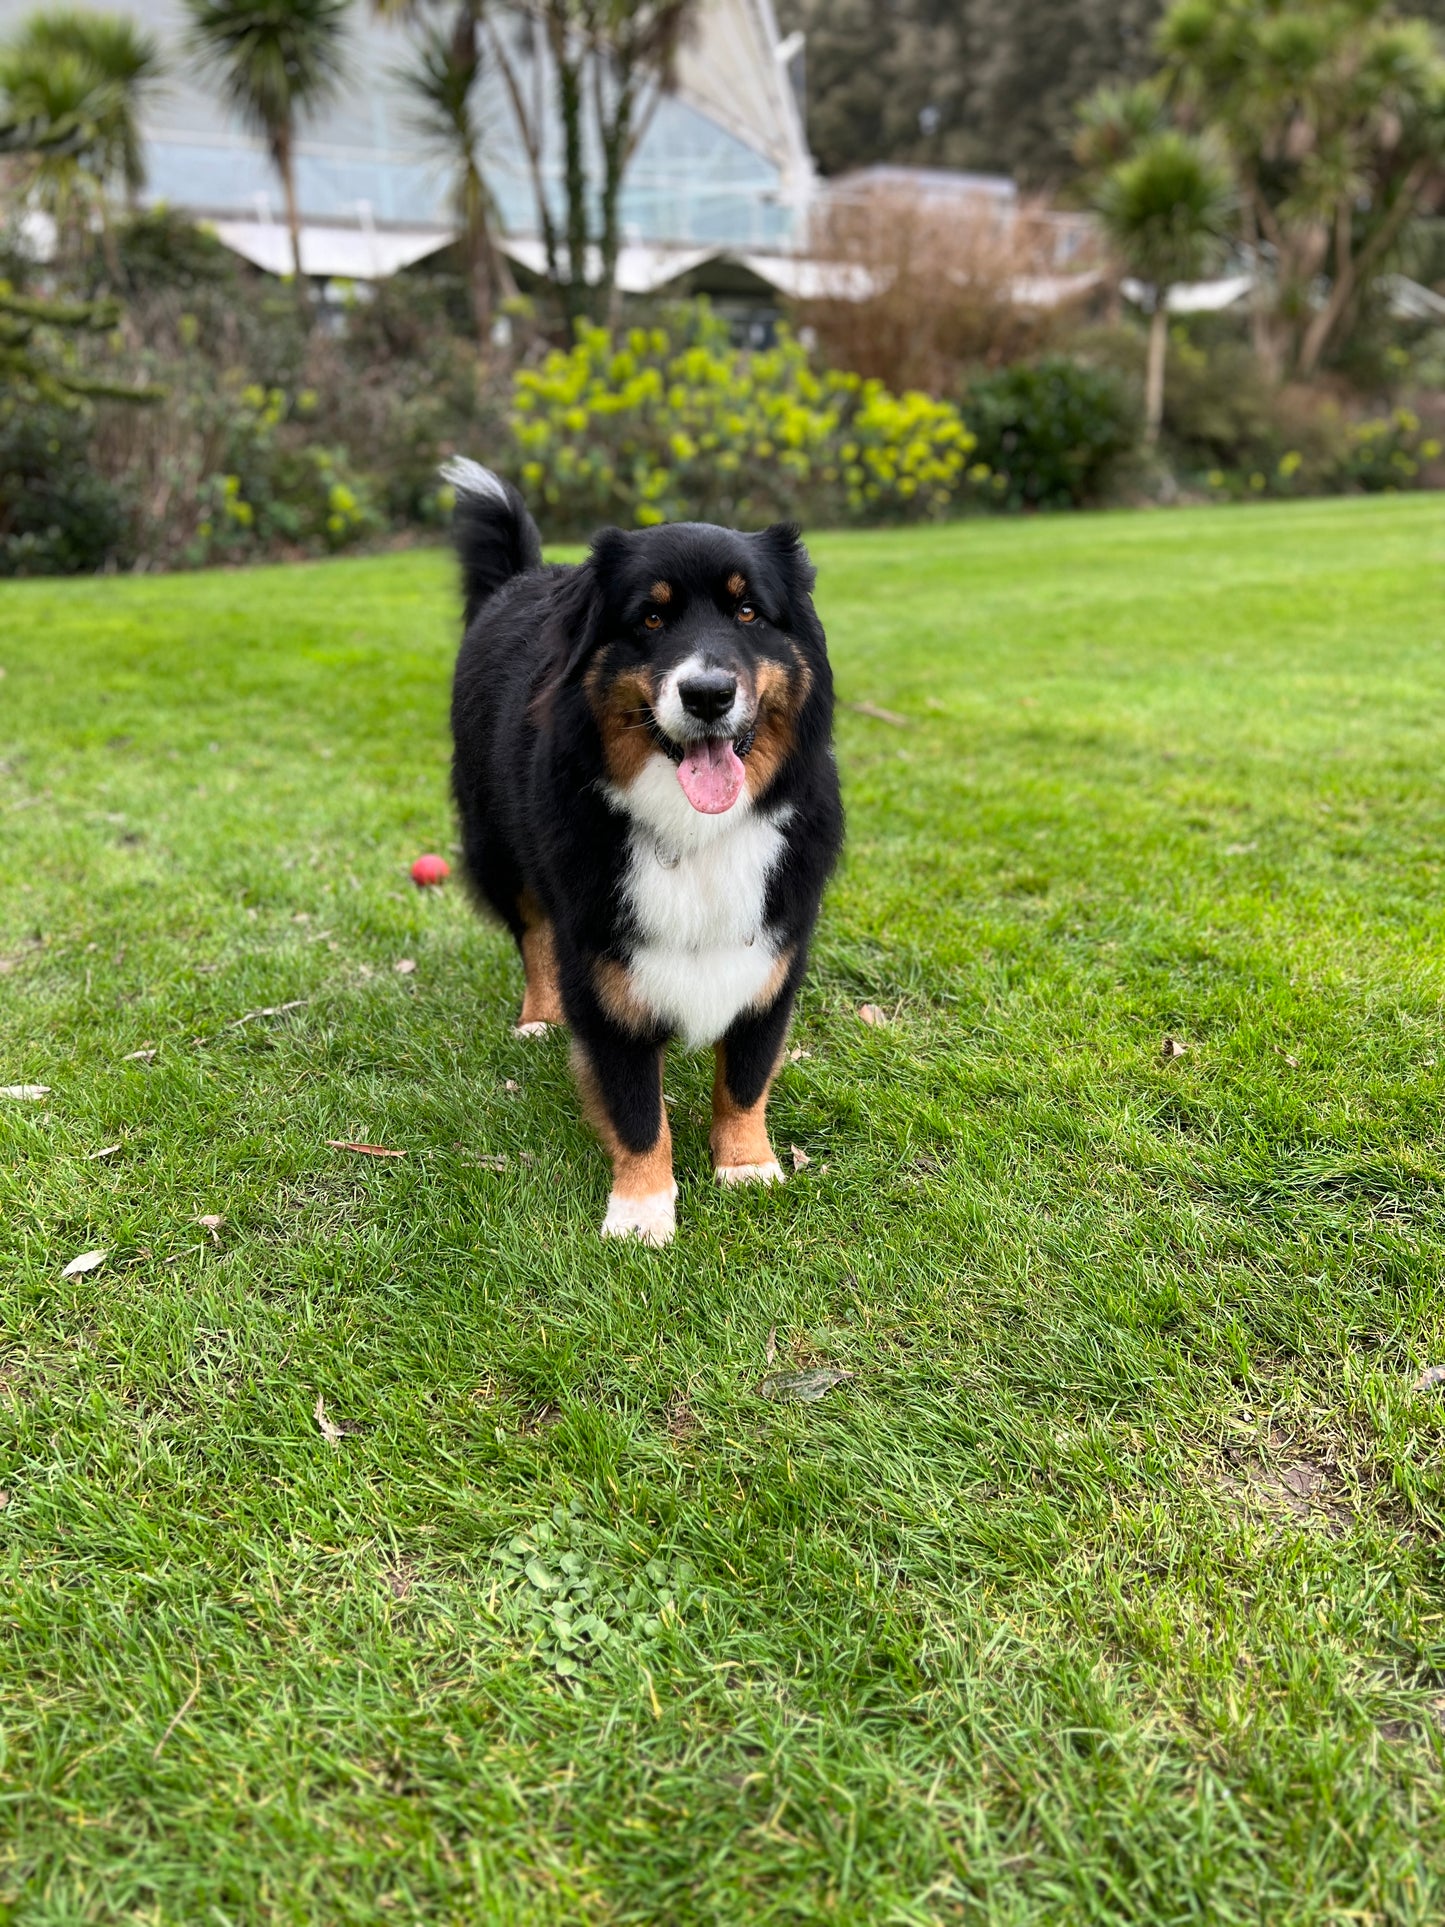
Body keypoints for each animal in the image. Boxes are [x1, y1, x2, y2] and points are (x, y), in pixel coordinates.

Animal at [446, 466, 843, 1248]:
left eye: (748, 611)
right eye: (651, 621)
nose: (708, 694)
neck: (695, 831)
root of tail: (522, 578)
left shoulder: (774, 951)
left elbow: (745, 1075)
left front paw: (746, 1166)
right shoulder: (605, 972)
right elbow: (635, 1109)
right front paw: (640, 1209)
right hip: (499, 851)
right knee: (531, 933)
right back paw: (538, 1016)